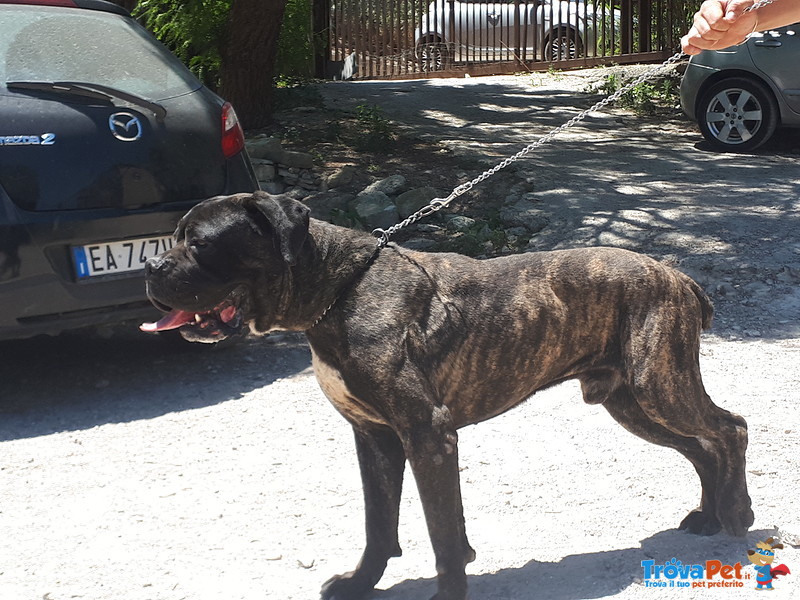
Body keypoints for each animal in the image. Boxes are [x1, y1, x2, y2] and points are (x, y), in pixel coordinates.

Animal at [142, 192, 752, 600]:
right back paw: (709, 514)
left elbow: (439, 531)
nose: (149, 266)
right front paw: (362, 581)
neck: (338, 289)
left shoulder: (427, 436)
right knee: (701, 447)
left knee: (730, 429)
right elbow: (379, 523)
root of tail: (674, 274)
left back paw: (737, 513)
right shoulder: (375, 438)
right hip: (632, 402)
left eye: (199, 243)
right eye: (174, 237)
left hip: (659, 386)